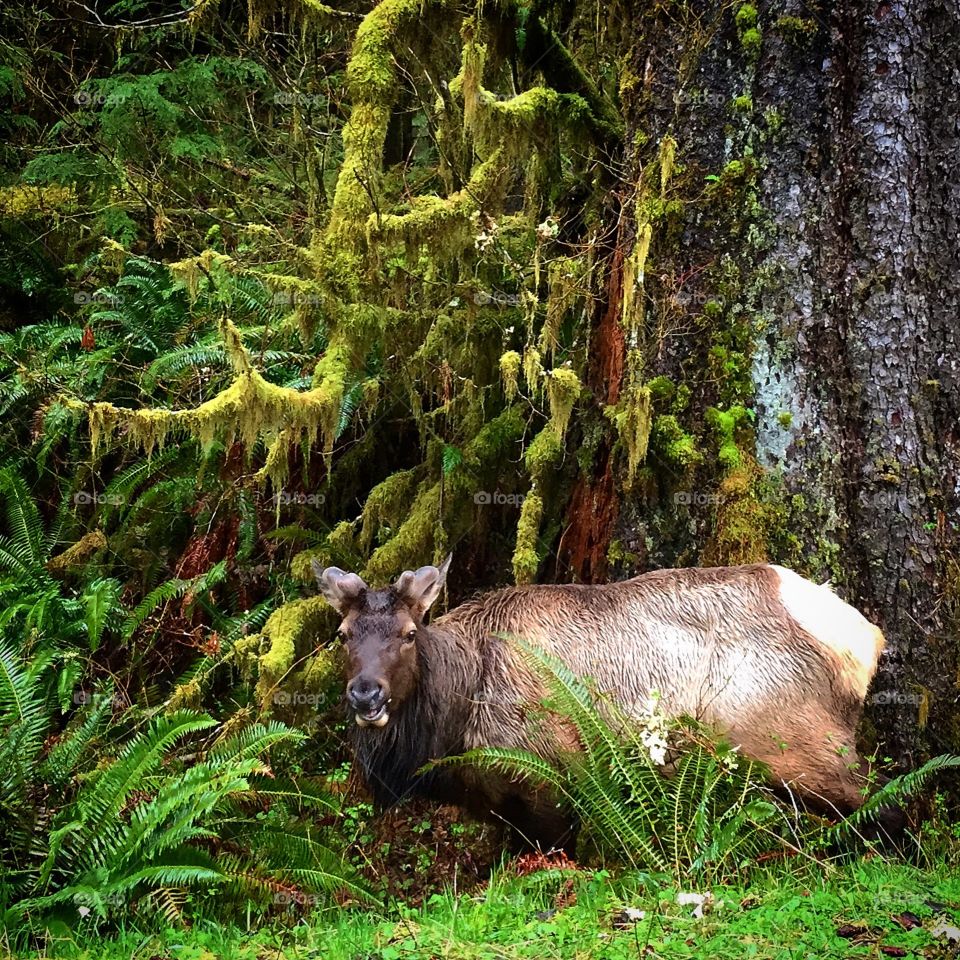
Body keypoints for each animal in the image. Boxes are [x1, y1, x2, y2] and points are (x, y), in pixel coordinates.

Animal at [316, 560, 892, 852]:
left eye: (409, 633)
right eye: (343, 635)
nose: (366, 693)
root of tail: (866, 640)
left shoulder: (552, 776)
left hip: (798, 739)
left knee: (882, 796)